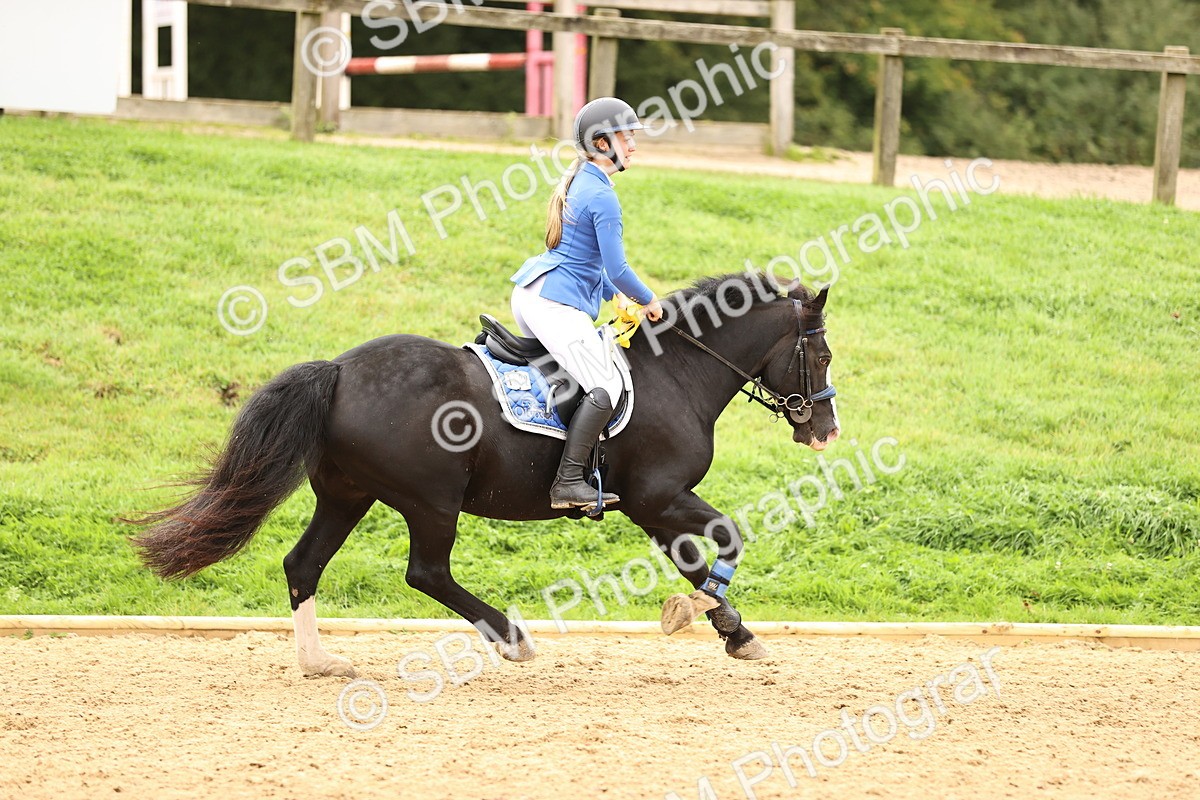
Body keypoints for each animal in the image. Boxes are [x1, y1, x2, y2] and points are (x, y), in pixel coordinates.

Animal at [132, 272, 839, 676]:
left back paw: (319, 662)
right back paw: (510, 639)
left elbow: (696, 560)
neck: (678, 373)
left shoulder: (653, 506)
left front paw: (731, 630)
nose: (825, 430)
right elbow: (728, 535)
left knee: (304, 564)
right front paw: (709, 615)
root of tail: (339, 369)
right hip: (432, 500)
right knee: (426, 572)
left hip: (347, 495)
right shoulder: (657, 496)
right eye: (825, 355)